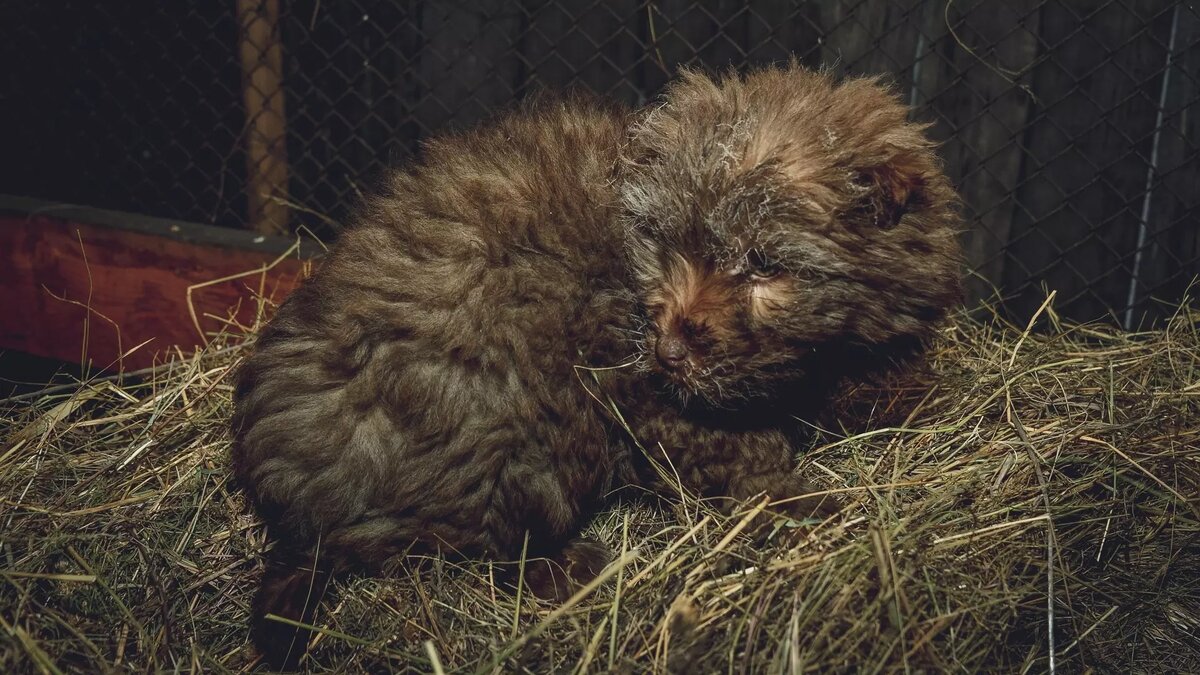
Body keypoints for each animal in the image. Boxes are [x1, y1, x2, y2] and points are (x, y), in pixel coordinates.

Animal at [231, 65, 964, 662]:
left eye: (762, 263)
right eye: (667, 242)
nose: (670, 350)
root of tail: (302, 507)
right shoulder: (631, 376)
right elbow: (734, 443)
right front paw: (798, 496)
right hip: (527, 423)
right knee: (477, 541)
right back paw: (567, 566)